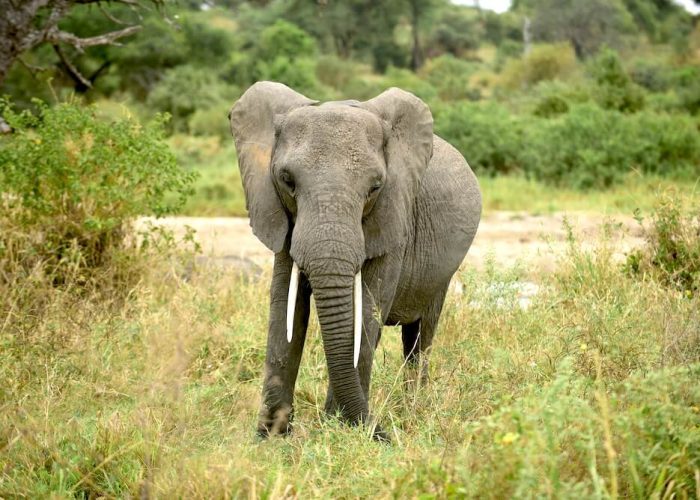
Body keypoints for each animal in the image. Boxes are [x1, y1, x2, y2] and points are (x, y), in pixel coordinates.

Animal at [230, 82, 482, 442]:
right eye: (287, 180)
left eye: (375, 187)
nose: (383, 434)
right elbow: (284, 309)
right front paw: (271, 437)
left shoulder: (394, 221)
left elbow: (367, 310)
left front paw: (341, 429)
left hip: (442, 275)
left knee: (421, 337)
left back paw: (413, 410)